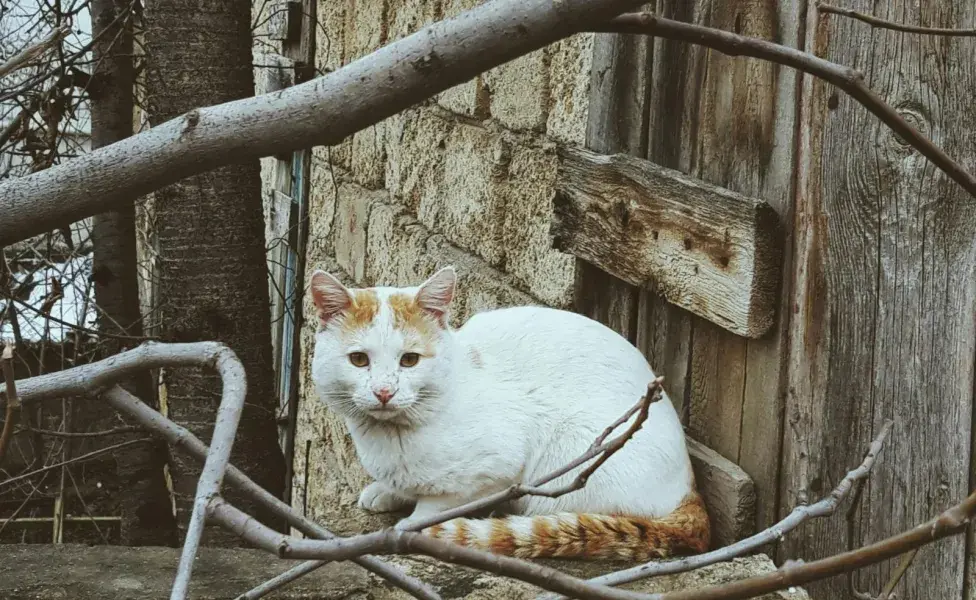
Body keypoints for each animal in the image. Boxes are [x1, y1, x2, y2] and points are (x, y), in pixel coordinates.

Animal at [310, 264, 708, 560]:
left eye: (410, 360)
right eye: (358, 360)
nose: (384, 392)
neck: (390, 437)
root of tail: (690, 489)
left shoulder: (498, 470)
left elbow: (441, 503)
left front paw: (413, 524)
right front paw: (385, 491)